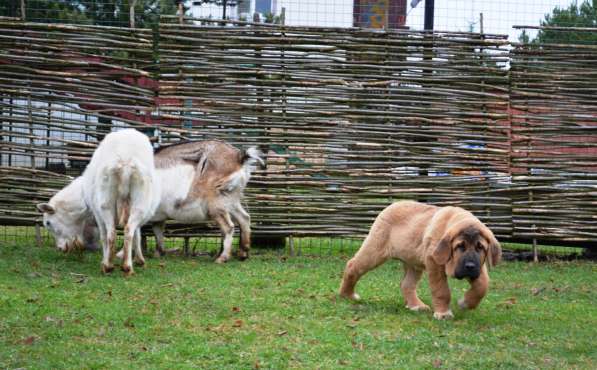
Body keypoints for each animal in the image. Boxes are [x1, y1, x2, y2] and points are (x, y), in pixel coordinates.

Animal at [38, 129, 162, 276]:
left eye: (48, 223)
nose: (60, 249)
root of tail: (125, 162)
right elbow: (137, 234)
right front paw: (139, 260)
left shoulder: (97, 214)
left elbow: (103, 236)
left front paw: (106, 258)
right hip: (140, 201)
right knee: (128, 231)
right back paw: (127, 266)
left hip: (105, 203)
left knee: (110, 234)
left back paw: (108, 265)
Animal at [338, 201, 500, 320]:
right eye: (460, 246)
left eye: (480, 247)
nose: (470, 266)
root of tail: (392, 204)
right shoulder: (434, 262)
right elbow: (441, 290)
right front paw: (443, 313)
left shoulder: (480, 267)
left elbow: (482, 285)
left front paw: (466, 303)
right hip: (374, 250)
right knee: (353, 266)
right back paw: (347, 295)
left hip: (413, 263)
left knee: (406, 284)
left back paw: (416, 305)